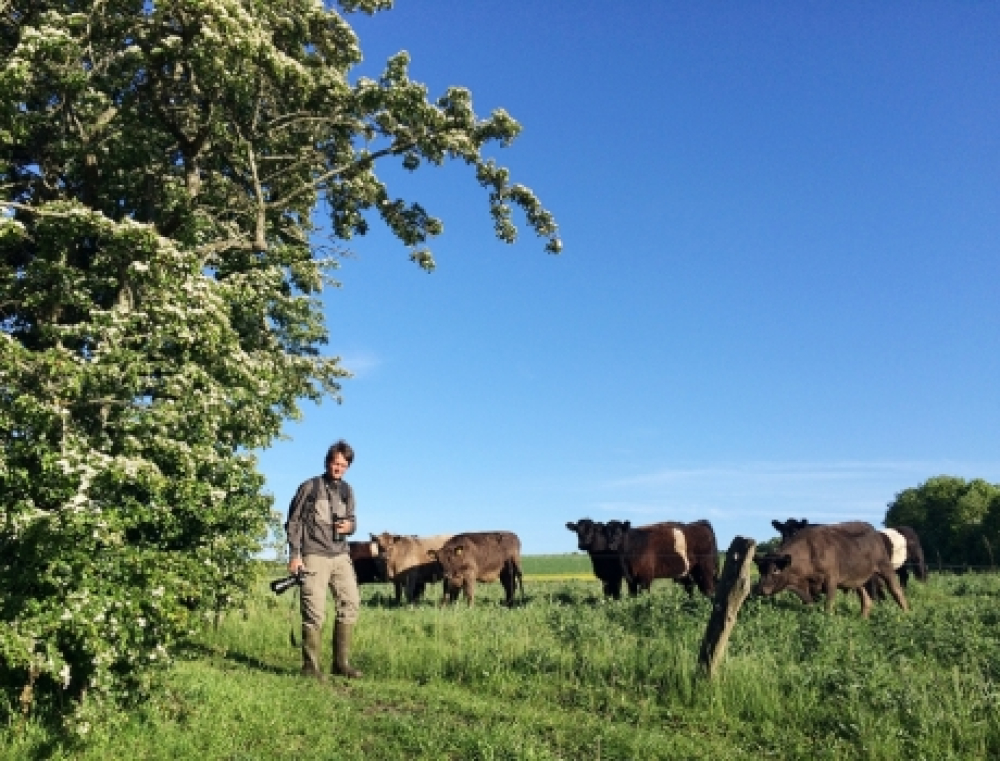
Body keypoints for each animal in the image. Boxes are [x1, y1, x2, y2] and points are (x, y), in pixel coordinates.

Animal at [752, 516, 912, 616]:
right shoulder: (809, 589)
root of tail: (873, 530)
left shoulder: (831, 581)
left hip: (885, 567)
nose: (759, 589)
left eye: (775, 570)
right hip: (858, 578)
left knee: (897, 592)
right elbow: (811, 606)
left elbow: (827, 607)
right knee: (866, 601)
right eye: (760, 570)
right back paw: (862, 619)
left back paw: (906, 616)